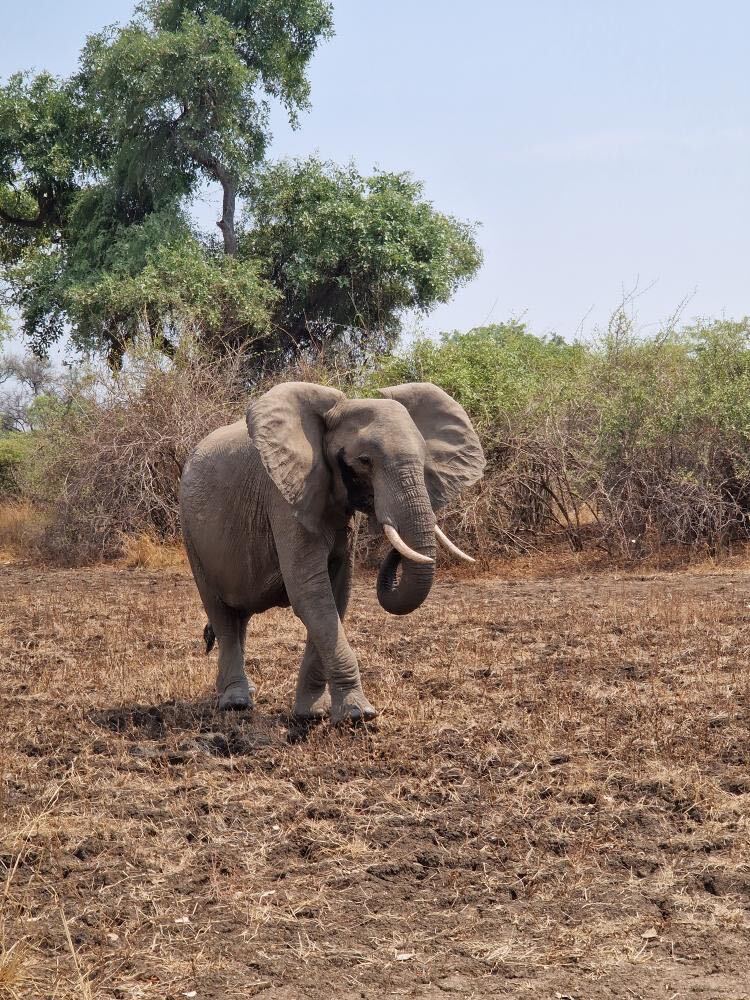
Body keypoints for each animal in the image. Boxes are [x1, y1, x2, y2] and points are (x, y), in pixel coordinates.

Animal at [179, 380, 485, 723]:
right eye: (364, 461)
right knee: (221, 613)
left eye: (424, 459)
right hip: (190, 532)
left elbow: (336, 594)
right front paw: (358, 716)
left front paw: (313, 713)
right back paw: (236, 703)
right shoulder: (285, 498)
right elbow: (311, 593)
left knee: (238, 616)